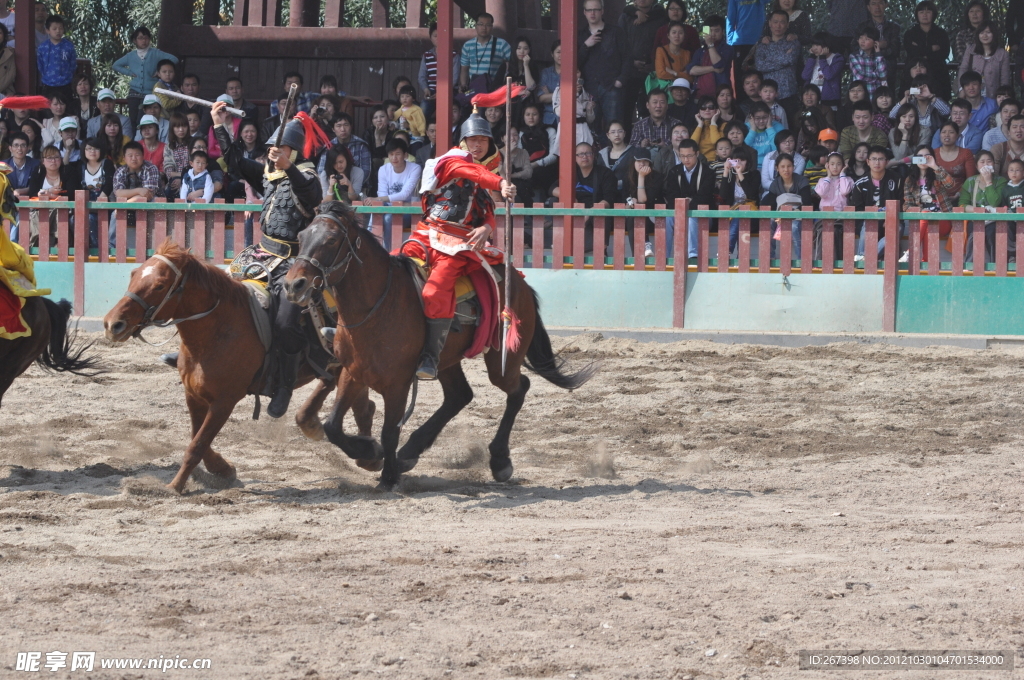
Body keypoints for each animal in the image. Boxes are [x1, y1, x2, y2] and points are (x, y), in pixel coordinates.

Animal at [102, 242, 376, 493]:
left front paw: (175, 486)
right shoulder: (194, 396)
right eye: (134, 274)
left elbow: (197, 445)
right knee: (360, 404)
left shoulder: (224, 401)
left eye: (160, 285)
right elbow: (198, 439)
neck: (219, 329)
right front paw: (223, 469)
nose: (113, 324)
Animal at [282, 200, 598, 489]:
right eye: (301, 236)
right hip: (446, 360)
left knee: (518, 389)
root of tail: (519, 284)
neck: (377, 306)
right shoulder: (352, 372)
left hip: (503, 360)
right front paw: (371, 452)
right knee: (460, 395)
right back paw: (411, 451)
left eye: (331, 240)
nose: (294, 285)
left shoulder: (398, 384)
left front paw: (388, 476)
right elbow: (333, 427)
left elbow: (388, 432)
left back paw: (499, 460)